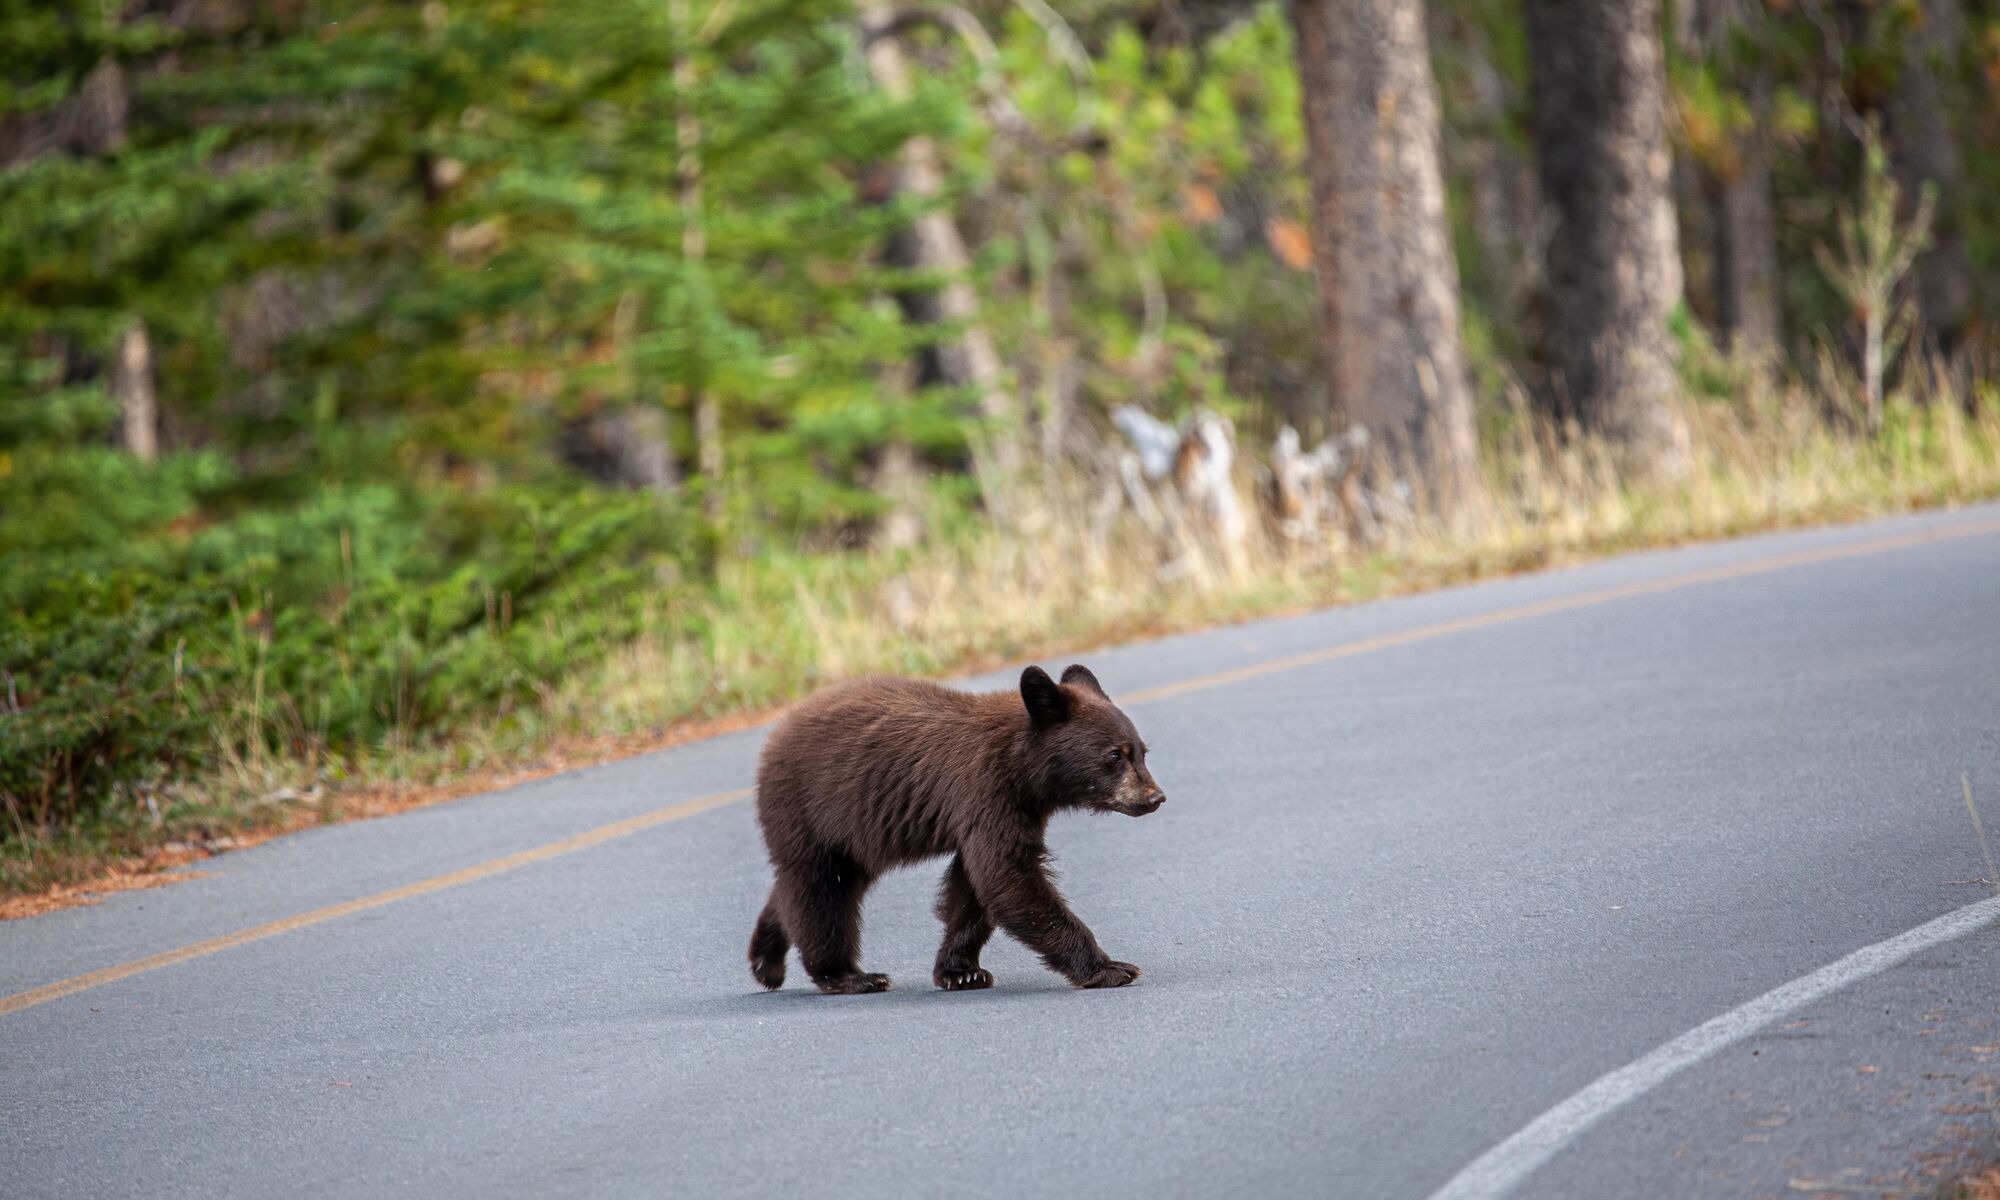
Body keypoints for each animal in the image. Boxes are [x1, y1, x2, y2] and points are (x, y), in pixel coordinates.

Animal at [747, 663, 1166, 994]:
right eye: (1114, 754)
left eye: (1142, 751)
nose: (1155, 797)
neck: (1024, 767)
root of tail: (775, 735)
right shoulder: (986, 792)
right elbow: (1008, 877)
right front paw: (1110, 968)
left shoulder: (1014, 810)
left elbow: (973, 886)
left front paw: (961, 971)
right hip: (810, 810)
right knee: (820, 890)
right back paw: (847, 976)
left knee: (804, 887)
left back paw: (766, 961)